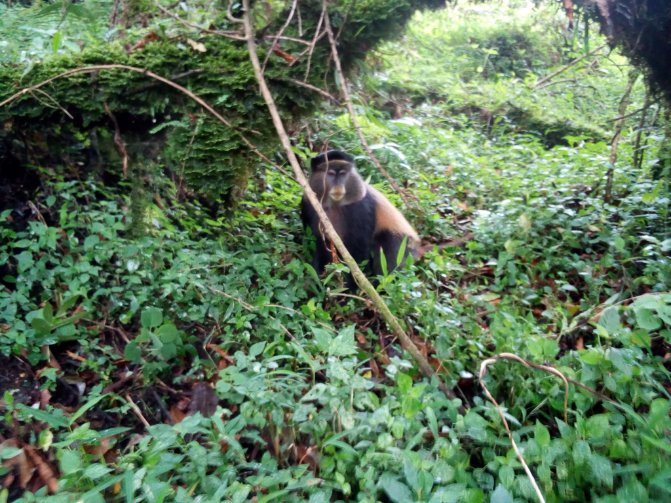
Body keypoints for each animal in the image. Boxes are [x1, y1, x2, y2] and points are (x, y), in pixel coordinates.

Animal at [301, 150, 420, 289]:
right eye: (330, 173)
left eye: (343, 173)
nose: (338, 186)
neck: (336, 205)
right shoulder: (307, 203)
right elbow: (320, 244)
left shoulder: (361, 209)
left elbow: (359, 252)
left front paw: (351, 287)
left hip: (403, 243)